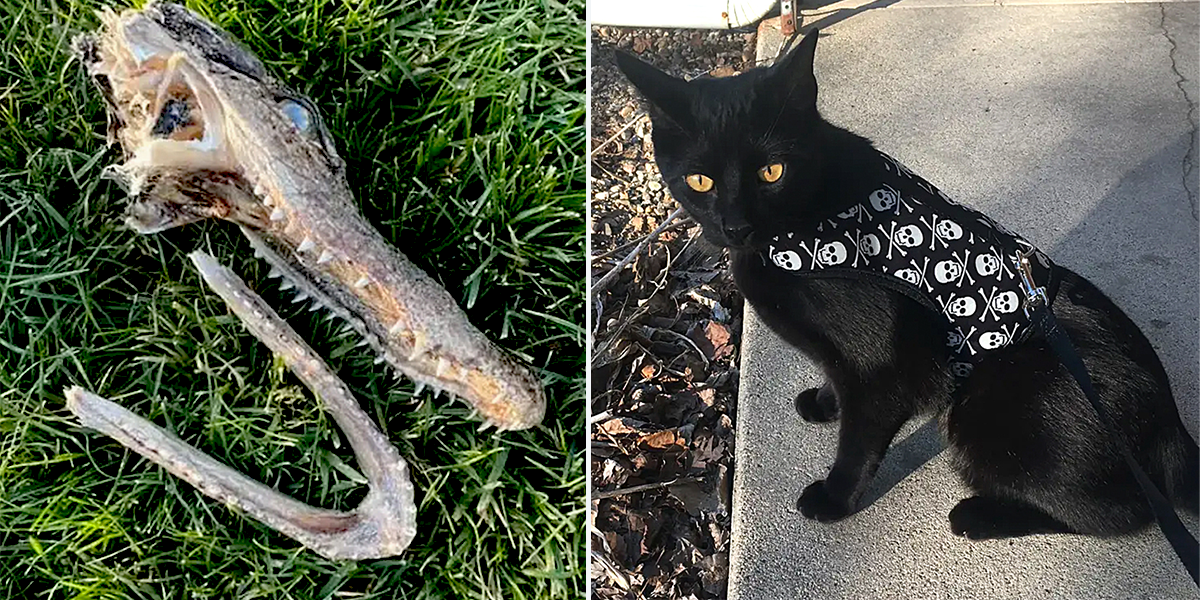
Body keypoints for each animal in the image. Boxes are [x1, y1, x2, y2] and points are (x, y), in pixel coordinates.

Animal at [614, 30, 1195, 542]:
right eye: (700, 181)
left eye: (772, 172)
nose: (734, 225)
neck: (805, 225)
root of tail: (1170, 426)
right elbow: (837, 382)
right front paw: (825, 402)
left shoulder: (885, 370)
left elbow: (859, 443)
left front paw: (834, 499)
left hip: (985, 413)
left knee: (1125, 514)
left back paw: (981, 517)